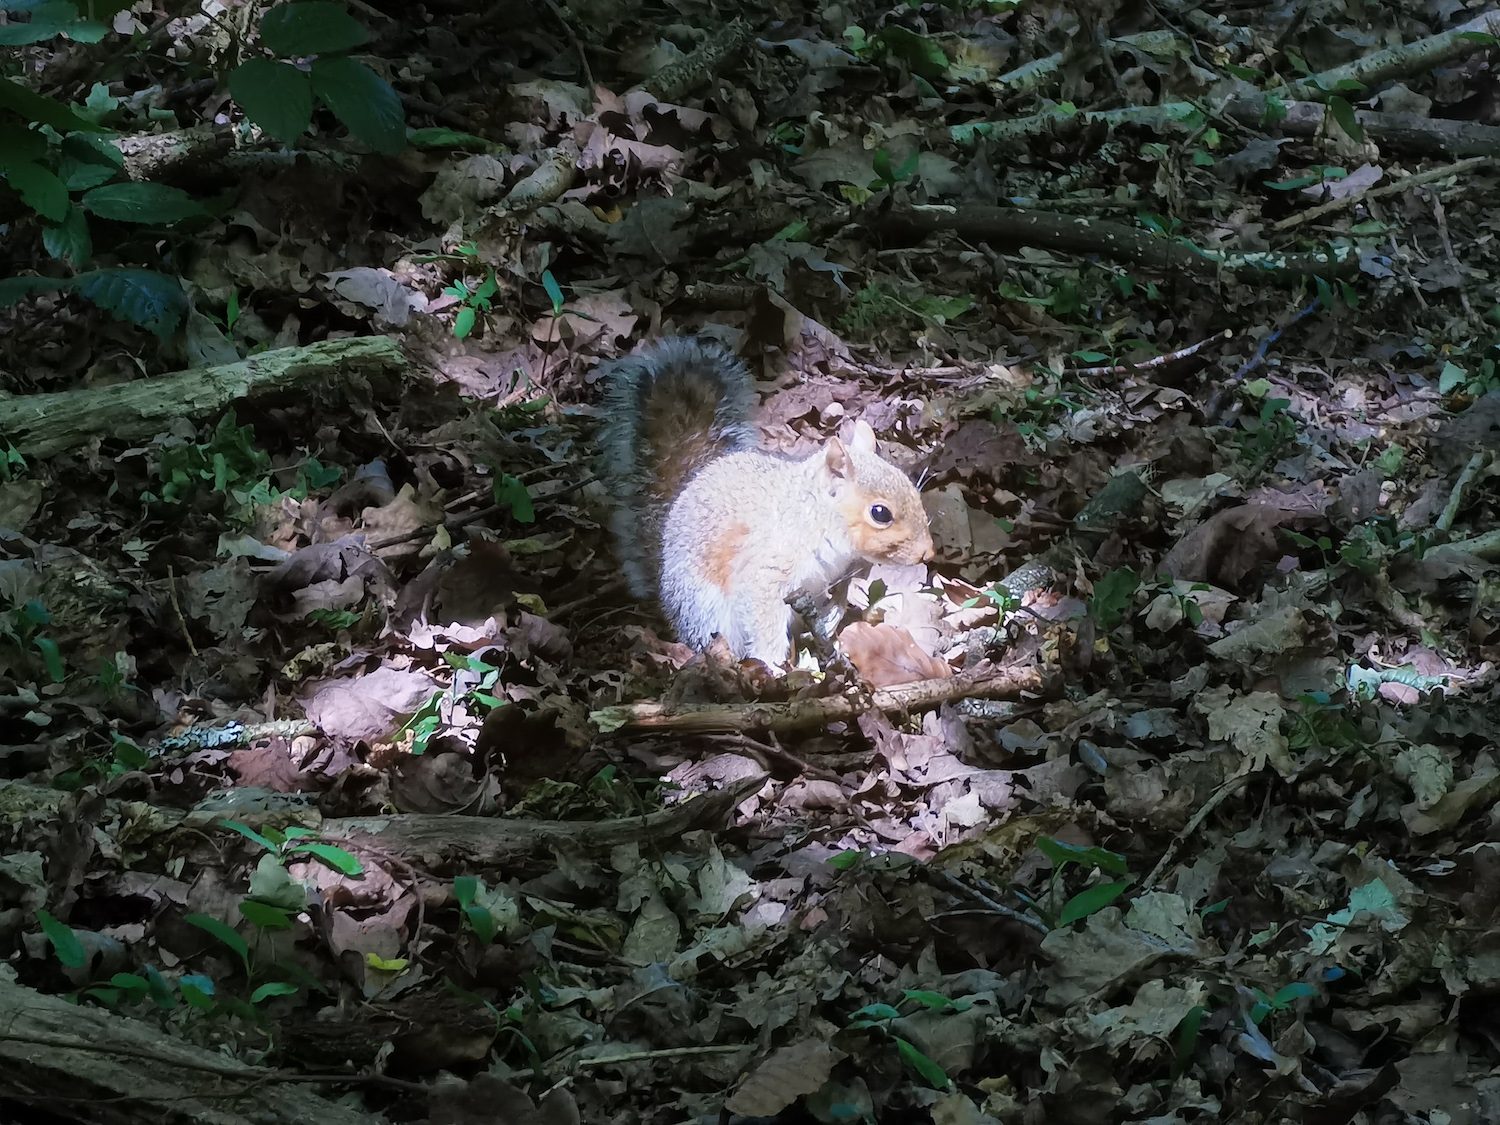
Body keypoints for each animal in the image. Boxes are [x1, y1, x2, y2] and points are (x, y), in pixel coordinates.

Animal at [597, 336, 934, 667]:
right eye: (880, 513)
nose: (927, 553)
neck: (813, 516)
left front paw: (830, 619)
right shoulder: (767, 570)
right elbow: (764, 617)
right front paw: (772, 661)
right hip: (705, 607)